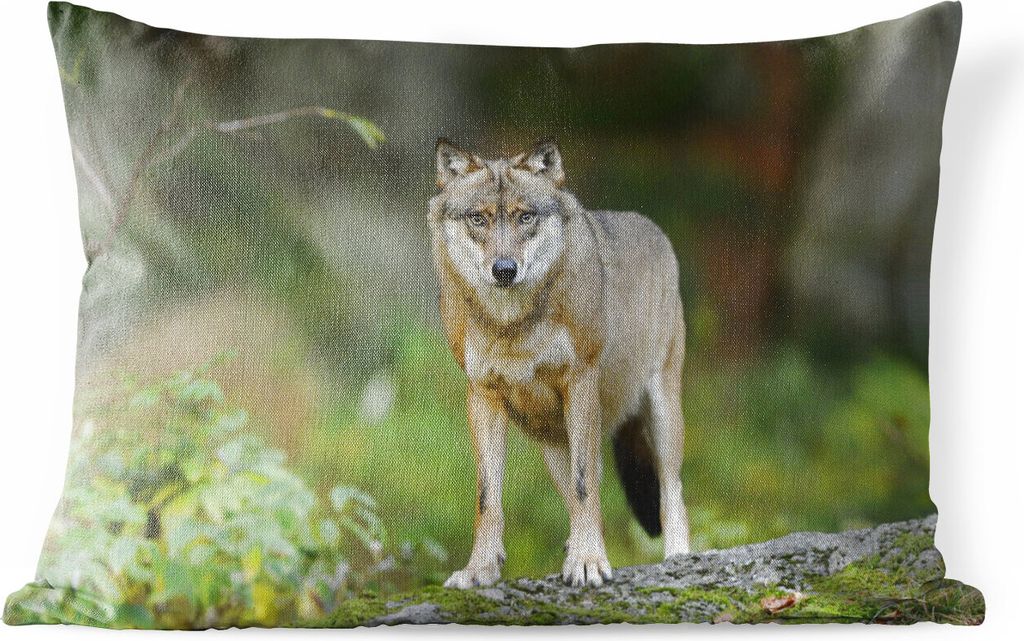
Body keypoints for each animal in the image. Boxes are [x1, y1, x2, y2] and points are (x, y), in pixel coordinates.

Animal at [429, 139, 689, 588]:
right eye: (478, 218)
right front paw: (480, 569)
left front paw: (587, 563)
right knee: (582, 491)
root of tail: (655, 230)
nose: (504, 270)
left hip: (660, 410)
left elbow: (587, 487)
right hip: (550, 440)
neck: (512, 325)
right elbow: (487, 497)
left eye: (525, 216)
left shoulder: (580, 381)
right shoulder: (482, 396)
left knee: (670, 490)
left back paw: (677, 557)